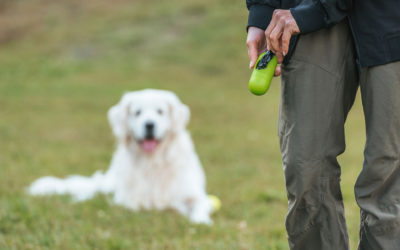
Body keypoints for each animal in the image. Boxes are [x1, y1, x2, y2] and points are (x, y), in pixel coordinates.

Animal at [28, 89, 212, 225]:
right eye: (137, 113)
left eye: (161, 111)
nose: (149, 124)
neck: (152, 163)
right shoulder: (129, 200)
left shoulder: (195, 195)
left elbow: (199, 206)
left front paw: (200, 220)